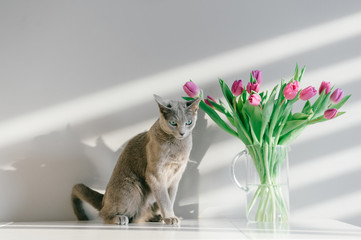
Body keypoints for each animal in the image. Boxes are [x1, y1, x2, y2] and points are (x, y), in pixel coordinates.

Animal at [70, 94, 200, 225]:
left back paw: (155, 217)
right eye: (173, 123)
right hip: (131, 188)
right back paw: (120, 218)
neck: (178, 147)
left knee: (139, 217)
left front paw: (169, 217)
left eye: (189, 122)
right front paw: (170, 218)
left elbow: (170, 199)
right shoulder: (155, 175)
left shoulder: (175, 177)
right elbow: (165, 200)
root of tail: (104, 198)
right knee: (104, 213)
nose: (182, 133)